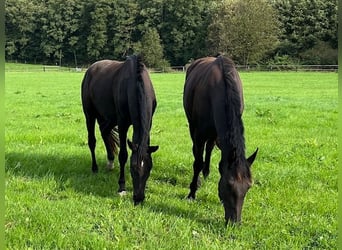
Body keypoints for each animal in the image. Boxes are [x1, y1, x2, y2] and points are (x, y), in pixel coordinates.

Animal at [81, 55, 159, 205]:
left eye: (149, 168)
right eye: (133, 168)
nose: (138, 198)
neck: (134, 83)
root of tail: (91, 69)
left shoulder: (149, 123)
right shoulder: (122, 123)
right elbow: (123, 155)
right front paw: (122, 187)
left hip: (109, 117)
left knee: (104, 131)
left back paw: (110, 161)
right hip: (90, 114)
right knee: (92, 140)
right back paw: (95, 168)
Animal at [183, 55, 258, 224]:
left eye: (248, 186)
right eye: (229, 185)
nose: (234, 222)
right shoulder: (199, 133)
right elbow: (197, 161)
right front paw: (192, 192)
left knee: (209, 148)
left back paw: (206, 172)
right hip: (193, 126)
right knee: (197, 152)